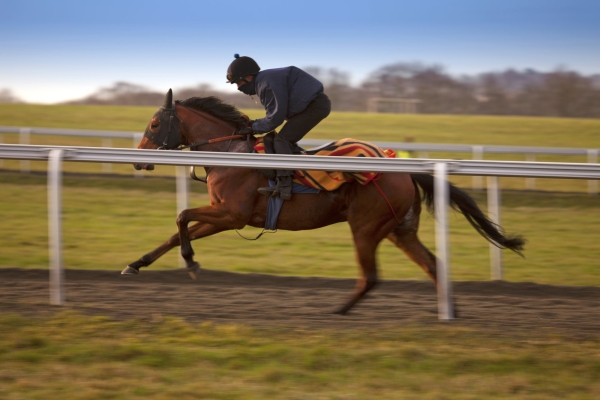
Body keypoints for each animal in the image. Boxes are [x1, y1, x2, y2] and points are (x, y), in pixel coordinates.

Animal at [126, 89, 524, 314]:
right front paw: (137, 263)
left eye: (155, 124)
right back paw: (451, 312)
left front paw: (191, 262)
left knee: (371, 276)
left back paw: (339, 311)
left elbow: (181, 216)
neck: (229, 153)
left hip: (366, 227)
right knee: (433, 265)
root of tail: (403, 169)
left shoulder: (231, 214)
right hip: (400, 230)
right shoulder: (225, 217)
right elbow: (177, 230)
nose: (138, 159)